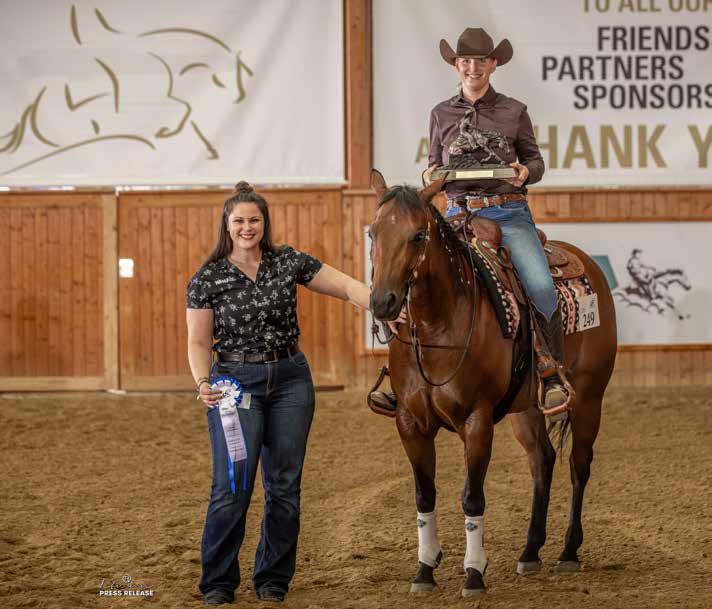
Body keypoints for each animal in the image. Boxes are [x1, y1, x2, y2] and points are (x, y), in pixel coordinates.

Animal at [368, 170, 617, 596]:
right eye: (372, 232)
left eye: (417, 235)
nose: (383, 302)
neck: (439, 328)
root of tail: (588, 265)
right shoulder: (410, 423)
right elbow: (424, 495)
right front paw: (424, 571)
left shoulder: (477, 421)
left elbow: (472, 498)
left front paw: (474, 573)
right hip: (527, 409)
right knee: (543, 461)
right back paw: (530, 551)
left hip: (588, 397)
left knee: (578, 465)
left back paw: (568, 552)